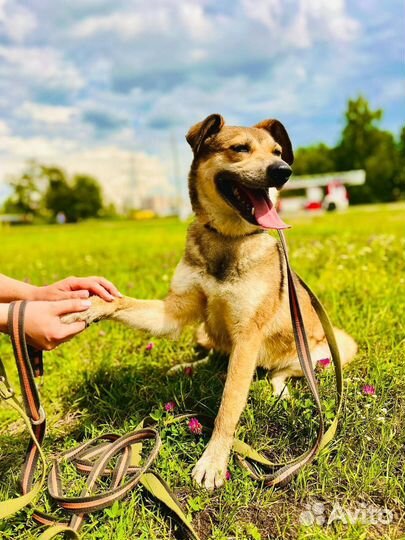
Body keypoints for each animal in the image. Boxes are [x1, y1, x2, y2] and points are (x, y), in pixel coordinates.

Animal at [61, 116, 356, 492]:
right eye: (240, 148)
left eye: (277, 152)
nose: (283, 172)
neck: (226, 238)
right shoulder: (175, 312)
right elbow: (126, 303)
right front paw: (93, 304)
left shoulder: (248, 337)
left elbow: (228, 407)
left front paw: (213, 462)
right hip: (204, 330)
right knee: (213, 353)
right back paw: (186, 367)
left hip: (333, 350)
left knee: (280, 372)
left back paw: (278, 391)